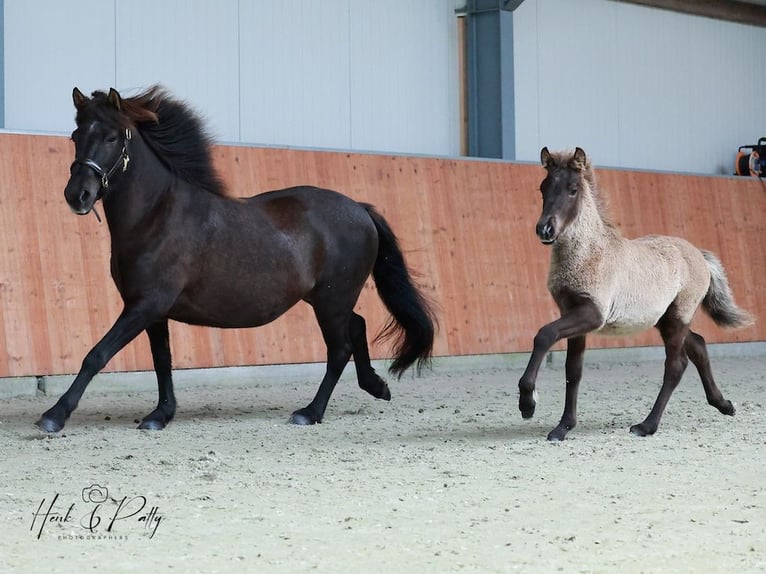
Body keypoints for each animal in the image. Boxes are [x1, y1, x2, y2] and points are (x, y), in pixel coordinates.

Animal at [36, 86, 436, 432]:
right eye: (76, 135)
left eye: (112, 137)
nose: (78, 195)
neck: (156, 214)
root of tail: (360, 209)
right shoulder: (151, 309)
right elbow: (162, 361)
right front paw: (160, 415)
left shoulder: (145, 305)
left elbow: (96, 354)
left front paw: (54, 415)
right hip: (326, 300)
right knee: (357, 326)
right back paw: (376, 386)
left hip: (332, 300)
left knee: (340, 349)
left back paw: (310, 412)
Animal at [520, 147, 756, 440]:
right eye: (543, 188)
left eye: (573, 189)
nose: (545, 229)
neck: (589, 253)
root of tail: (699, 255)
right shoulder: (572, 314)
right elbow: (573, 371)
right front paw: (563, 427)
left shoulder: (591, 314)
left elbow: (544, 335)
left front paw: (528, 403)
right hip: (665, 319)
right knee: (699, 345)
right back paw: (724, 404)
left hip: (679, 315)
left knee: (676, 365)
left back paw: (647, 425)